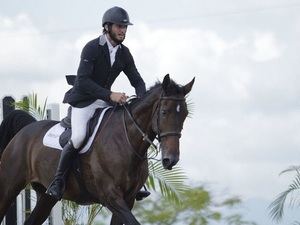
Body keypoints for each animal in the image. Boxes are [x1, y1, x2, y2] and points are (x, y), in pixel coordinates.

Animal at [0, 74, 195, 224]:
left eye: (185, 115)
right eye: (164, 112)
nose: (171, 159)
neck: (125, 141)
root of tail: (25, 130)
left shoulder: (128, 199)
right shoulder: (111, 197)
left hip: (46, 197)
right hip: (9, 186)